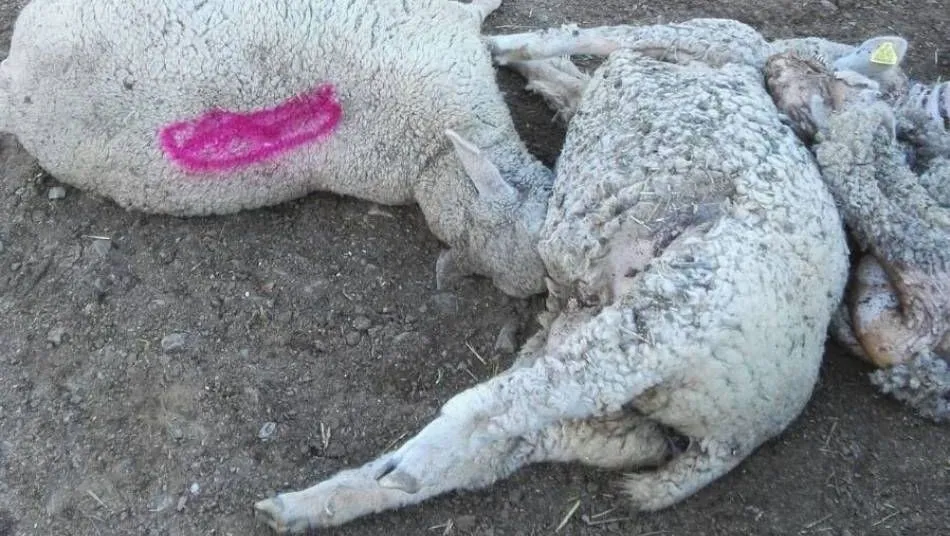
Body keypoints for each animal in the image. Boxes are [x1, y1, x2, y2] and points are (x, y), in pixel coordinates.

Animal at [253, 19, 850, 532]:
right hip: (616, 409)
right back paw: (322, 501)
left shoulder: (704, 35)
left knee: (500, 407)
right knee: (502, 444)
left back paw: (408, 460)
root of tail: (739, 436)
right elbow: (568, 76)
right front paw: (523, 62)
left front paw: (501, 46)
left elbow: (582, 36)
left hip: (665, 317)